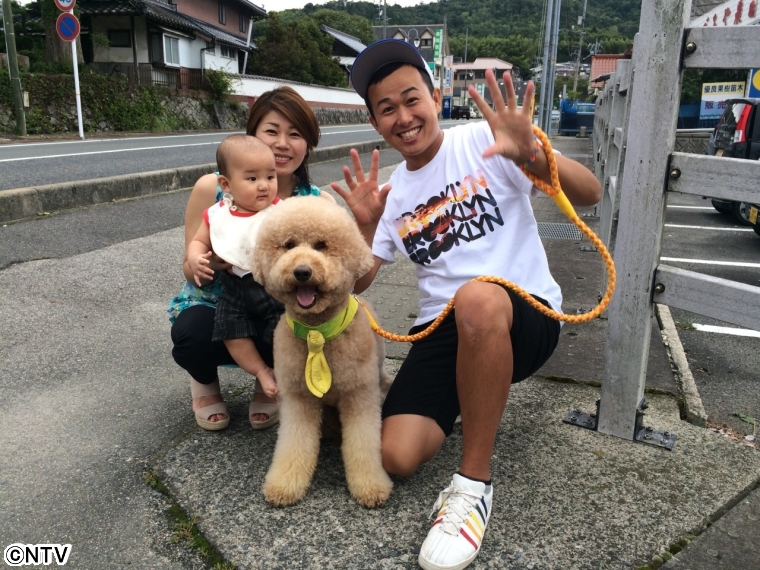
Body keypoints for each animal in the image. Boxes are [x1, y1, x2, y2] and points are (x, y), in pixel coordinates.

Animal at [251, 196, 393, 508]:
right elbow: (294, 443)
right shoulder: (297, 397)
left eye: (321, 245)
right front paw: (284, 485)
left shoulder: (359, 394)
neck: (318, 331)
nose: (302, 272)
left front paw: (371, 487)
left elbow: (363, 443)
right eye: (289, 245)